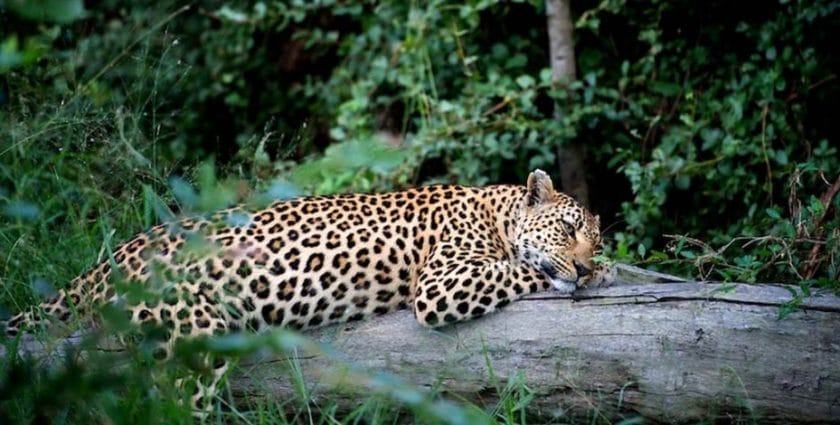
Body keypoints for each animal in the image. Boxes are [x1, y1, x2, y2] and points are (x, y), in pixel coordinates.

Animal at [1, 168, 604, 410]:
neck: (494, 211)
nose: (586, 269)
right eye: (568, 229)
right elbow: (519, 268)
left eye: (594, 241)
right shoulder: (442, 283)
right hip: (194, 339)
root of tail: (105, 264)